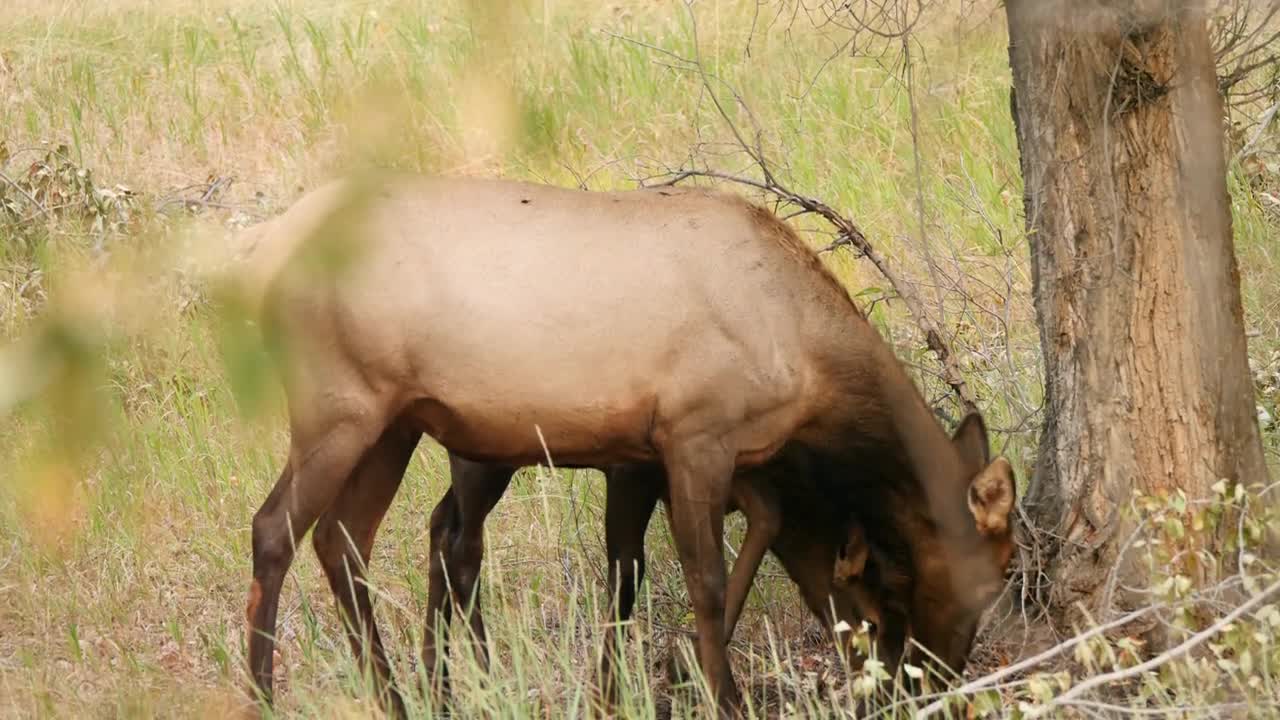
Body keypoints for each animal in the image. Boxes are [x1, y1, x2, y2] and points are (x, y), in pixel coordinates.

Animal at [240, 174, 1013, 712]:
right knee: (275, 529)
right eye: (986, 583)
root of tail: (264, 252)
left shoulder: (667, 455)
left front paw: (640, 687)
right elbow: (702, 578)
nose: (936, 682)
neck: (810, 366)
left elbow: (642, 569)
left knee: (345, 540)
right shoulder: (696, 433)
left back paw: (403, 697)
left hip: (395, 424)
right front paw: (719, 697)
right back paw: (267, 697)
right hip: (339, 406)